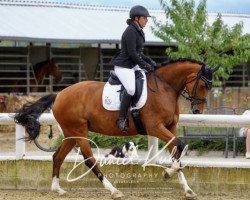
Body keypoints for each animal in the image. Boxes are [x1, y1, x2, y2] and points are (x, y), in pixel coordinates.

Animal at [13, 58, 220, 199]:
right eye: (202, 84)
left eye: (210, 86)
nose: (197, 110)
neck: (164, 87)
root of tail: (60, 94)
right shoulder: (155, 127)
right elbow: (180, 145)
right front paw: (167, 174)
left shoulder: (170, 127)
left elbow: (177, 150)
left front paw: (187, 189)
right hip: (79, 131)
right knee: (89, 159)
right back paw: (114, 190)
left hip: (71, 134)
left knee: (57, 157)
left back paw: (57, 188)